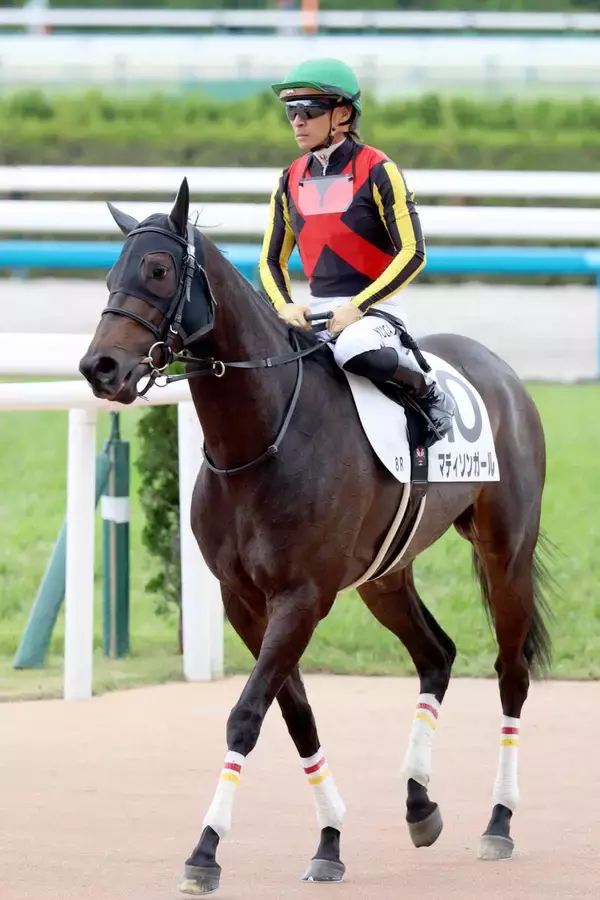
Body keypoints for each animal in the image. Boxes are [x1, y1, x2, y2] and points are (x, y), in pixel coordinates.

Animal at [79, 178, 553, 895]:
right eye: (111, 273)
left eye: (158, 271)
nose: (98, 367)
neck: (260, 439)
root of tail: (501, 372)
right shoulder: (245, 602)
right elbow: (294, 713)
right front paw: (329, 841)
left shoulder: (300, 598)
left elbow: (247, 714)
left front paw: (205, 851)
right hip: (386, 574)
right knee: (436, 653)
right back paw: (419, 803)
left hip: (506, 552)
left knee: (511, 672)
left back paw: (499, 822)